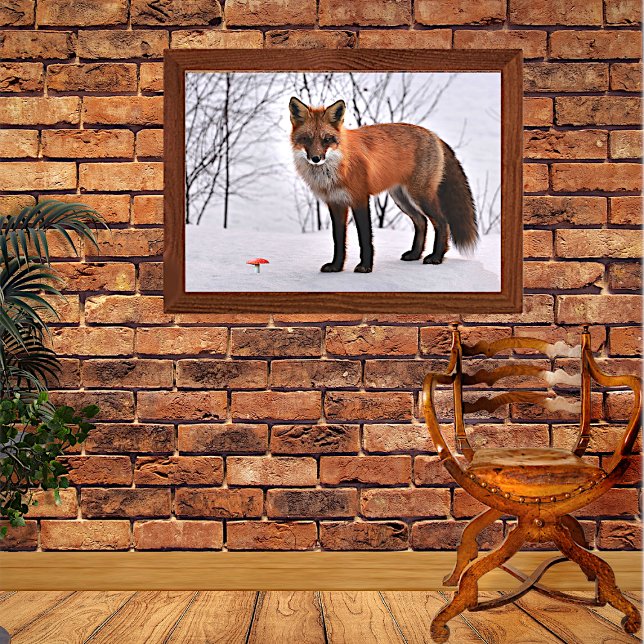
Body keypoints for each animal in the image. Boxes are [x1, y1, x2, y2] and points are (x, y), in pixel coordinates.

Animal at [289, 96, 478, 273]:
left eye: (327, 139)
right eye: (306, 139)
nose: (316, 158)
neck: (337, 167)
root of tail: (433, 135)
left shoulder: (360, 199)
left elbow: (365, 237)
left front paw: (365, 267)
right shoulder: (336, 203)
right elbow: (338, 240)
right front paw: (336, 267)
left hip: (420, 196)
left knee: (442, 222)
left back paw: (436, 257)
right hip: (401, 198)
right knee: (421, 221)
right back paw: (415, 254)